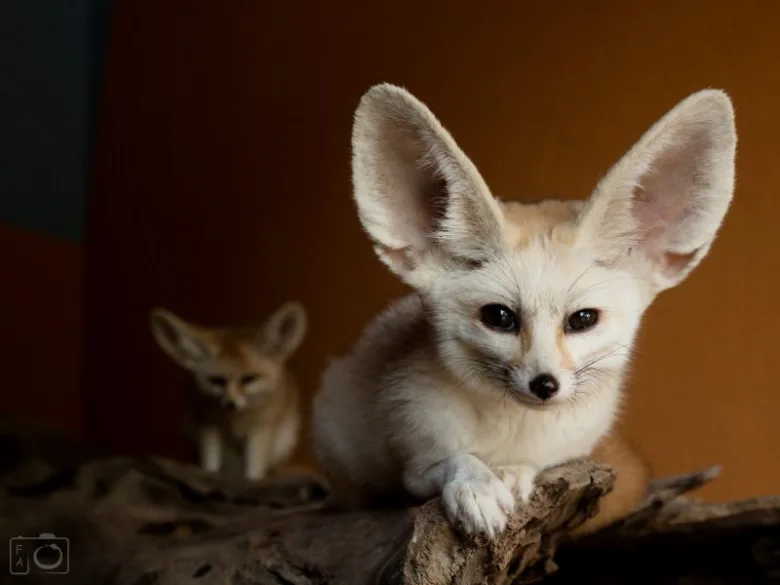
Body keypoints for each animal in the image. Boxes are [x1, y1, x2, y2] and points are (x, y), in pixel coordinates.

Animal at [150, 302, 307, 481]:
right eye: (217, 381)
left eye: (249, 379)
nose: (230, 403)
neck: (236, 421)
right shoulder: (208, 428)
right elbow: (209, 466)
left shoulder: (259, 430)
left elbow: (253, 472)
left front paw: (252, 481)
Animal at [311, 84, 737, 539]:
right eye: (499, 317)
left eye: (583, 319)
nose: (545, 384)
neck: (512, 430)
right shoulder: (413, 458)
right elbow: (453, 460)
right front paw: (477, 485)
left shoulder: (570, 450)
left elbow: (532, 466)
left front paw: (511, 475)